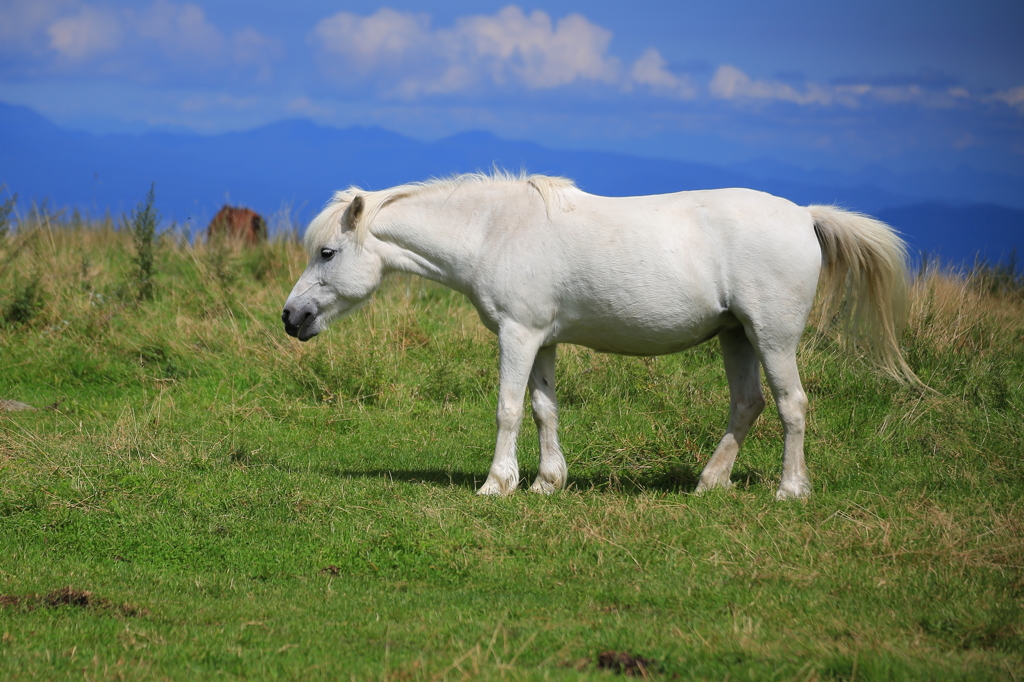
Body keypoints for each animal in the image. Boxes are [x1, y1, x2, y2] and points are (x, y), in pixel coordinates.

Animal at [282, 172, 914, 499]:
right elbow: (545, 410)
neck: (494, 231)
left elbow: (509, 409)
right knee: (748, 404)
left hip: (773, 336)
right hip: (737, 335)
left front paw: (496, 484)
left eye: (327, 252)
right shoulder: (542, 339)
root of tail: (806, 215)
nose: (292, 317)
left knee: (791, 405)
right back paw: (710, 483)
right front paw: (546, 482)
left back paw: (789, 489)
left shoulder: (517, 334)